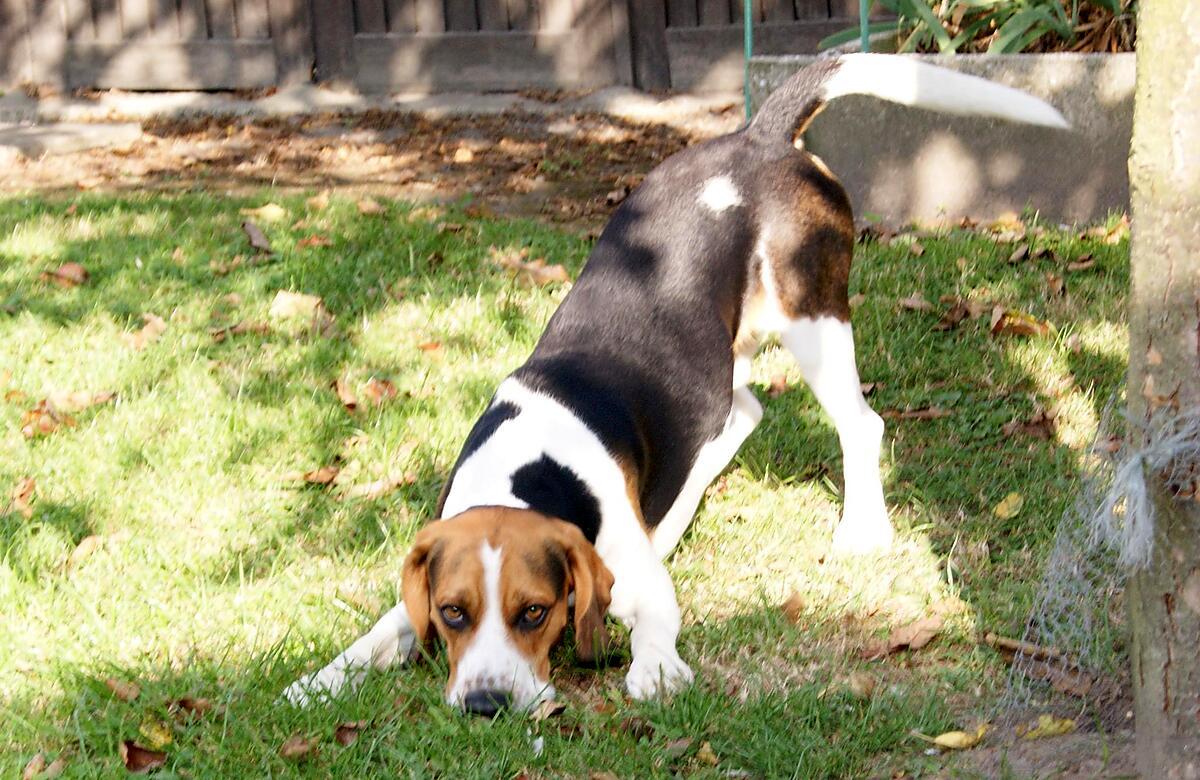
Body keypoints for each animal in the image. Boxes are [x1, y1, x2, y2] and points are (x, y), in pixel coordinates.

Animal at [283, 53, 1070, 710]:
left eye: (534, 611)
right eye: (453, 612)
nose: (485, 705)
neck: (530, 472)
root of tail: (759, 136)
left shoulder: (640, 588)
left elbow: (654, 628)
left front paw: (656, 669)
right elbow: (378, 632)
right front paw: (320, 679)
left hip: (813, 313)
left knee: (858, 422)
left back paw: (861, 528)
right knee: (740, 410)